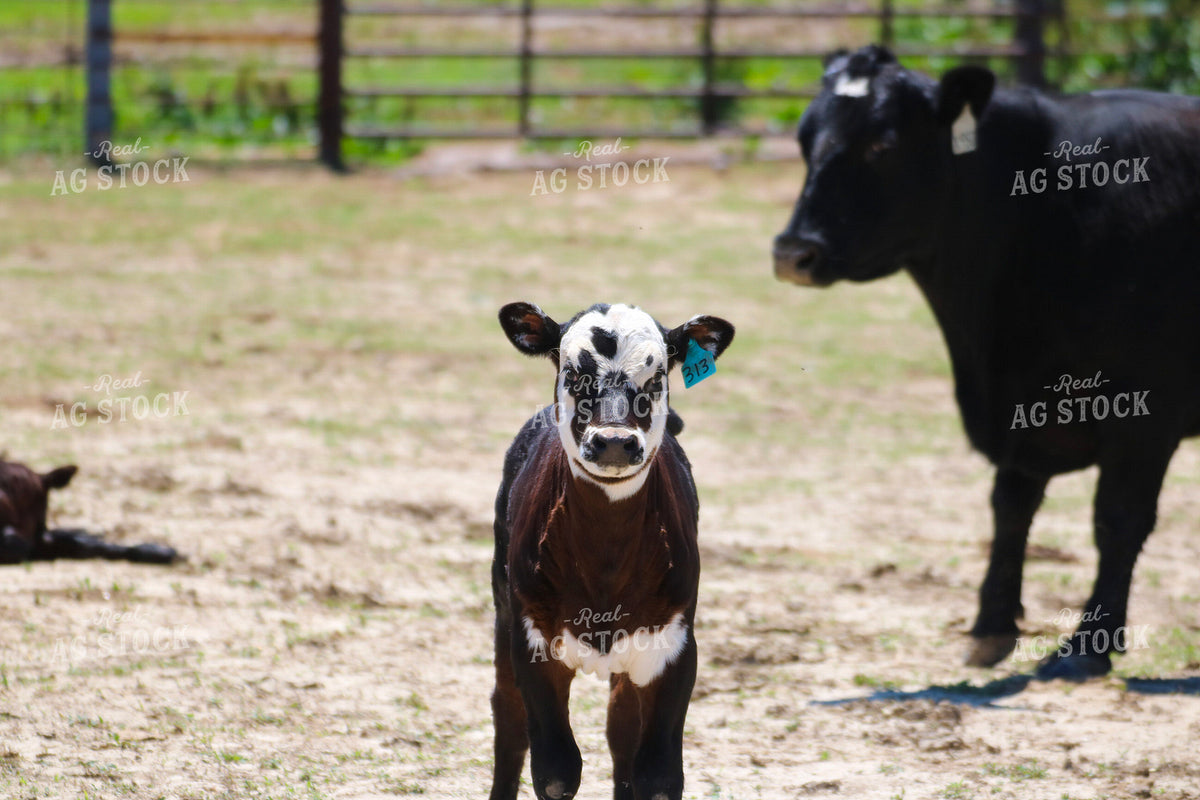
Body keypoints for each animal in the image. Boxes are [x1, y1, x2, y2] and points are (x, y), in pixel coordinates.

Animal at [490, 302, 734, 800]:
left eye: (657, 377)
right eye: (572, 372)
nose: (616, 443)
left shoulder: (675, 648)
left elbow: (657, 774)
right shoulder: (532, 643)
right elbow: (556, 769)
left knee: (621, 730)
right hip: (503, 610)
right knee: (508, 719)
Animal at [772, 44, 1200, 681]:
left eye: (882, 145)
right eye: (804, 138)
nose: (793, 252)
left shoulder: (1146, 416)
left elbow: (1118, 520)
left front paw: (1087, 644)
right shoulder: (1020, 409)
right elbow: (1010, 509)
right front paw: (992, 625)